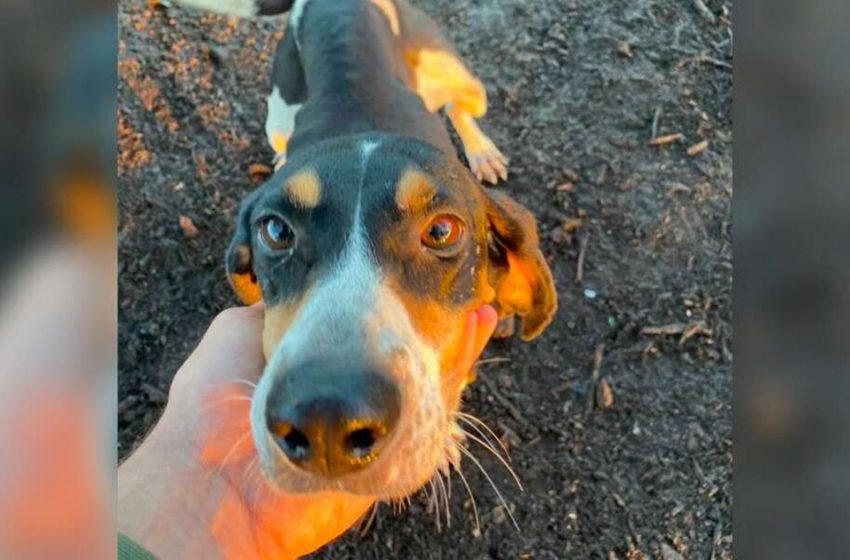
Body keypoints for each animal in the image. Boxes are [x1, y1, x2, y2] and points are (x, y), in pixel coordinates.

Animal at [176, 0, 552, 504]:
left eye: (442, 231)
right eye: (276, 230)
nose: (325, 418)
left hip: (461, 78)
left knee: (462, 107)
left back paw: (482, 151)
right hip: (278, 114)